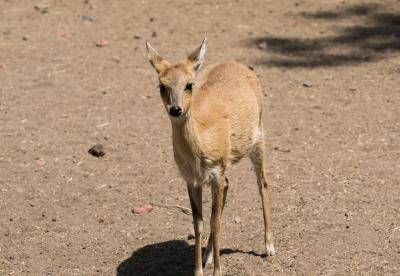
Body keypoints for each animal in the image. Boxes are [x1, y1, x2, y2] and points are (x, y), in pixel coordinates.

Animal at [147, 37, 276, 274]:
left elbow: (215, 222)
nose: (176, 109)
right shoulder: (191, 179)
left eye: (189, 84)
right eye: (162, 86)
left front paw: (218, 271)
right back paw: (207, 257)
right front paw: (198, 270)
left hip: (259, 138)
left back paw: (269, 246)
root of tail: (240, 65)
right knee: (230, 186)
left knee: (262, 182)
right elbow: (198, 223)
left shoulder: (217, 172)